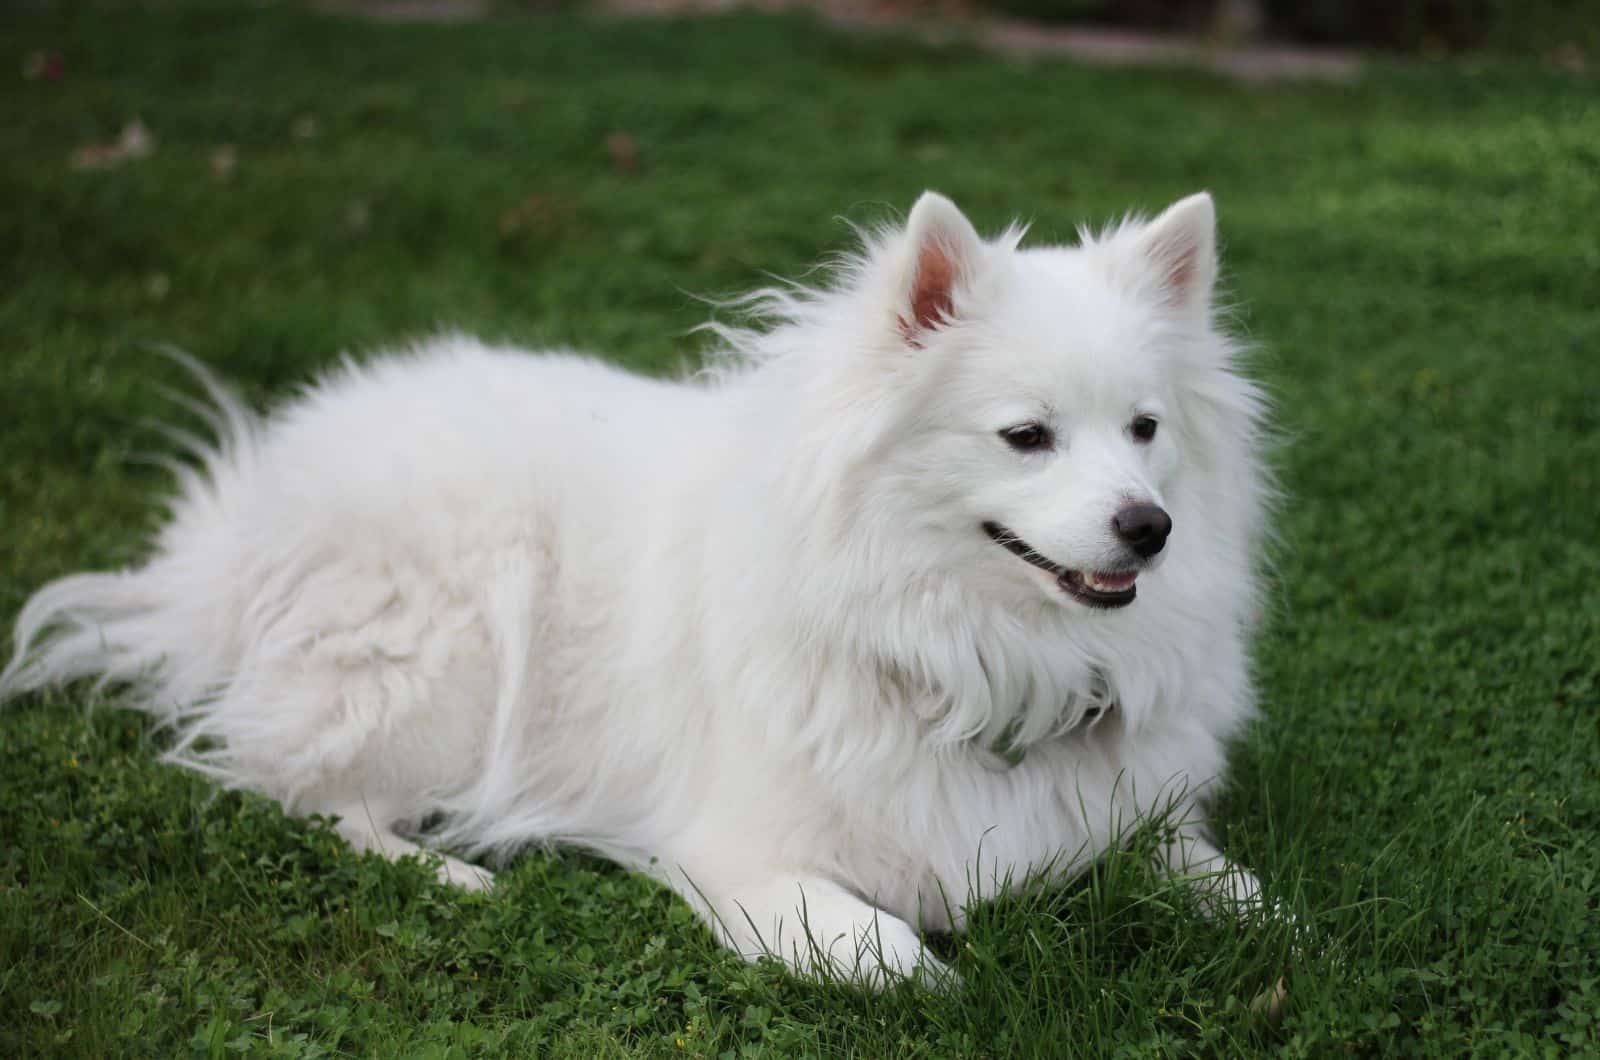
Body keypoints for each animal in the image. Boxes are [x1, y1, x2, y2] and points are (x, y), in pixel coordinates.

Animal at [3, 191, 1273, 986]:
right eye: (1025, 436)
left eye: (1144, 429)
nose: (1148, 527)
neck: (974, 653)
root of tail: (237, 529)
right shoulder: (739, 850)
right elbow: (883, 950)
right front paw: (920, 968)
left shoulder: (1130, 813)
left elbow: (1239, 888)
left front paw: (1276, 923)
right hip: (450, 661)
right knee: (296, 787)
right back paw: (451, 868)